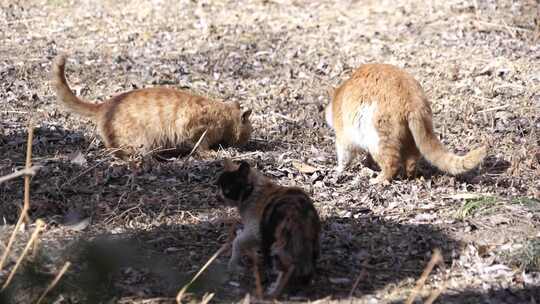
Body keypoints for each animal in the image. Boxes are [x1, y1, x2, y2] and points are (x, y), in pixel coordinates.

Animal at [216, 160, 320, 298]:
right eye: (218, 186)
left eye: (227, 190)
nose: (217, 197)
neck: (254, 190)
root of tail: (299, 212)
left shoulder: (255, 232)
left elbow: (237, 242)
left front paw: (233, 265)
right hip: (309, 241)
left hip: (278, 243)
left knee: (287, 267)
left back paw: (275, 291)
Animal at [324, 63, 490, 184]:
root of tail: (412, 99)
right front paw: (367, 162)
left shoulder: (345, 135)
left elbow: (344, 155)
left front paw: (339, 169)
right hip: (410, 134)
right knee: (412, 156)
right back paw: (409, 173)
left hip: (377, 135)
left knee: (391, 163)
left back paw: (380, 179)